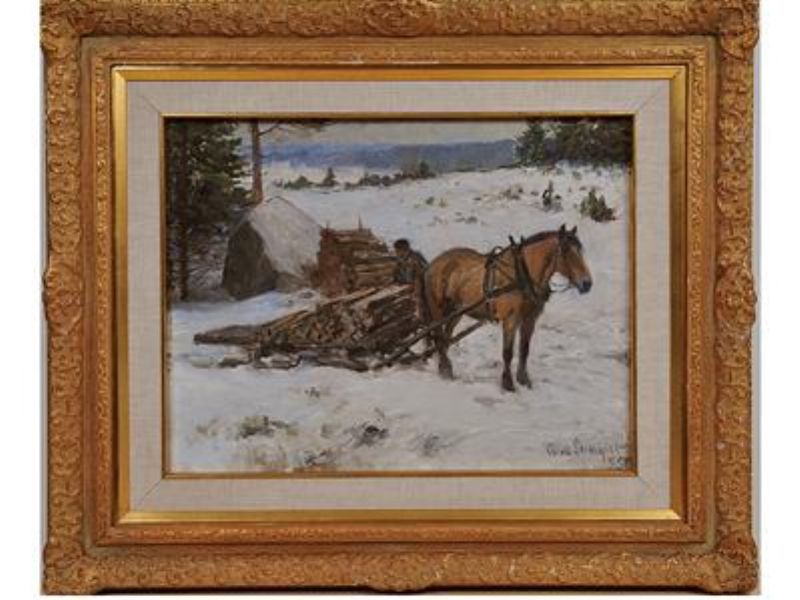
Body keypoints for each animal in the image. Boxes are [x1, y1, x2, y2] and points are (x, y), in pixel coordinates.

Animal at [423, 224, 592, 392]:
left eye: (580, 250)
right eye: (565, 251)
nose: (587, 283)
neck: (522, 274)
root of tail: (435, 263)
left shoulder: (530, 319)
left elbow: (524, 349)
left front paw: (523, 379)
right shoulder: (511, 319)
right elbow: (508, 352)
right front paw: (508, 383)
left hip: (455, 312)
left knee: (446, 337)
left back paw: (443, 366)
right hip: (438, 309)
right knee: (439, 336)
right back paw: (445, 369)